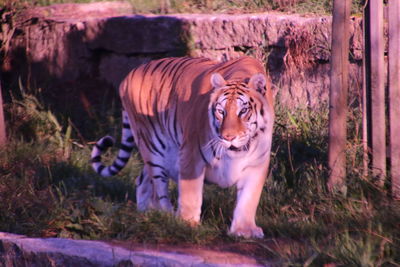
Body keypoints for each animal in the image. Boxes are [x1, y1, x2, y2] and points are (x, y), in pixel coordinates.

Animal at [90, 56, 276, 239]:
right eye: (221, 112)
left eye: (243, 111)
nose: (228, 137)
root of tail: (129, 75)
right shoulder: (191, 155)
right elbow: (190, 193)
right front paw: (187, 225)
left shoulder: (257, 164)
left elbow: (248, 199)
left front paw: (244, 230)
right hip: (154, 148)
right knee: (158, 190)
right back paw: (166, 216)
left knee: (142, 180)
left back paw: (144, 214)